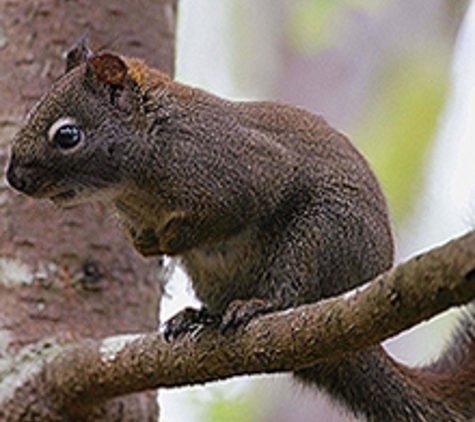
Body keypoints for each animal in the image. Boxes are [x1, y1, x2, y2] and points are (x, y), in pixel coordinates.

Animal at [6, 40, 475, 422]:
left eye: (67, 135)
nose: (14, 178)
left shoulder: (240, 168)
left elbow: (231, 209)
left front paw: (170, 239)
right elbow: (142, 241)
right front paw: (147, 245)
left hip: (320, 238)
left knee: (294, 292)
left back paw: (259, 306)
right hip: (217, 275)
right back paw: (199, 316)